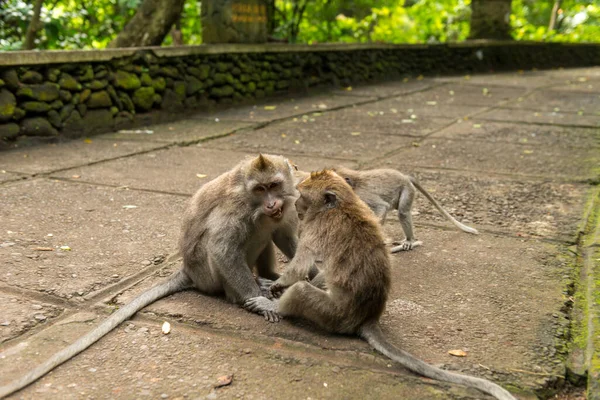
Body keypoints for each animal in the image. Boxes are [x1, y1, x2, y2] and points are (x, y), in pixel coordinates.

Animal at [0, 153, 300, 396]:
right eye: (259, 189)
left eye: (274, 186)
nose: (271, 204)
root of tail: (188, 270)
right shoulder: (236, 209)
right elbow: (222, 247)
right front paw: (258, 302)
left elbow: (285, 235)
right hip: (207, 272)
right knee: (239, 240)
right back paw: (242, 292)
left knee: (267, 232)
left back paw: (269, 275)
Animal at [245, 170, 516, 400]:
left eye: (302, 196)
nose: (296, 207)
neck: (343, 204)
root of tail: (368, 316)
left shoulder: (315, 228)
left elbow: (301, 266)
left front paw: (276, 288)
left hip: (334, 314)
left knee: (302, 291)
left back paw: (274, 306)